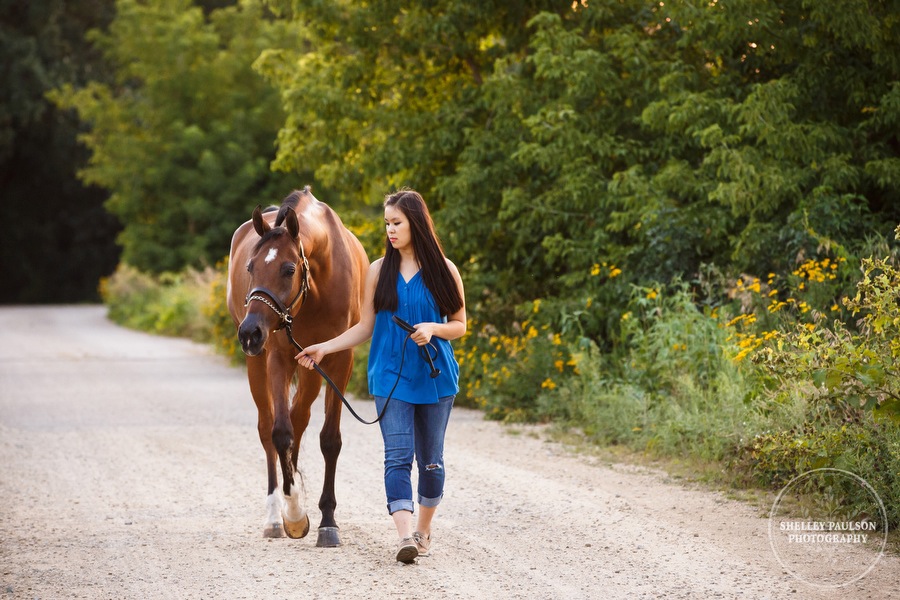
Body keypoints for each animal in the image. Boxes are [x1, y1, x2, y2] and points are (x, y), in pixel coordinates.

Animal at [227, 190, 368, 548]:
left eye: (289, 269)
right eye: (250, 266)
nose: (250, 333)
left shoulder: (339, 360)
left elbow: (329, 440)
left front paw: (327, 522)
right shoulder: (278, 356)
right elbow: (280, 432)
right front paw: (294, 514)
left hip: (309, 368)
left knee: (299, 417)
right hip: (259, 363)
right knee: (270, 428)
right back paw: (275, 519)